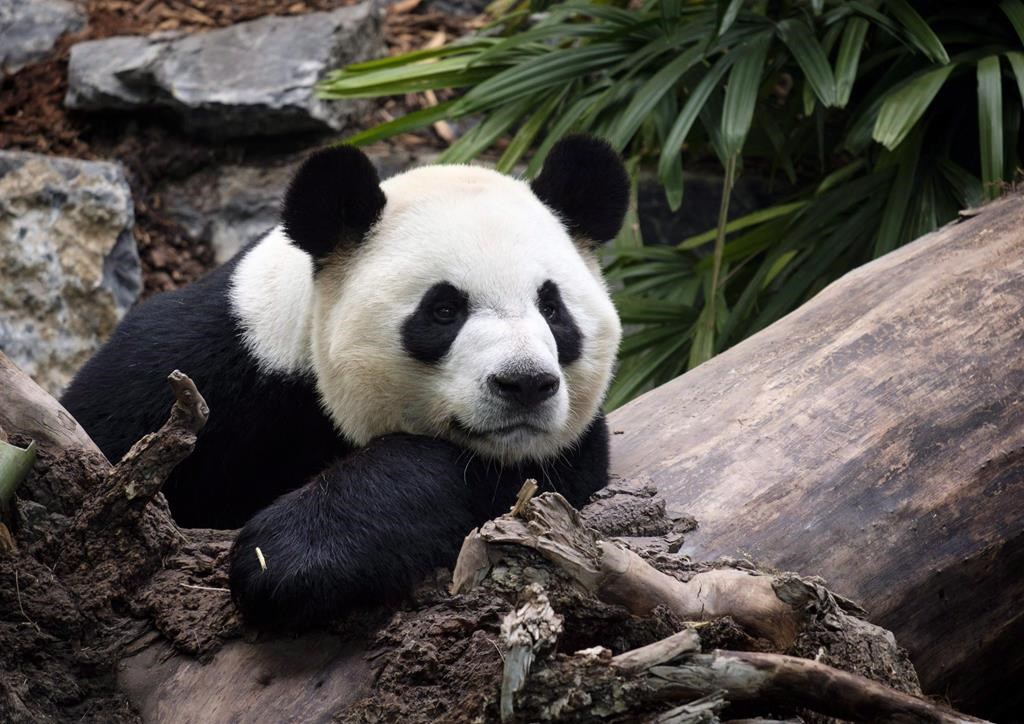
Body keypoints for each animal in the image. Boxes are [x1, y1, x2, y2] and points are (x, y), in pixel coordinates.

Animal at [60, 135, 629, 627]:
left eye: (553, 309)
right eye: (444, 310)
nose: (525, 383)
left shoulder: (557, 453)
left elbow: (508, 478)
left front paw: (291, 557)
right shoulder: (198, 362)